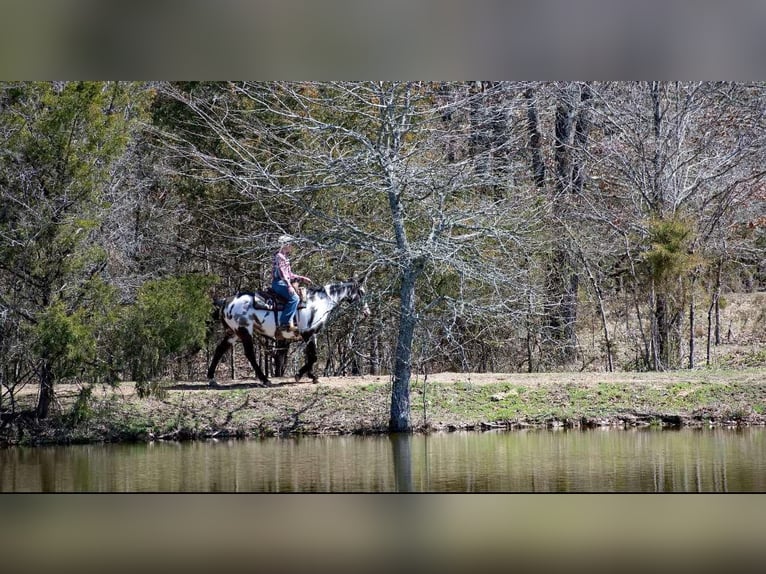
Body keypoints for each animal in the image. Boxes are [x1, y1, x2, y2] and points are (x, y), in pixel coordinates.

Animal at [207, 280, 370, 386]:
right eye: (361, 292)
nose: (367, 312)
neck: (318, 302)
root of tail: (226, 301)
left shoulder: (312, 334)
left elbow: (311, 355)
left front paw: (311, 376)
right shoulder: (307, 333)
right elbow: (313, 357)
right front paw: (300, 375)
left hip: (232, 333)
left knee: (219, 350)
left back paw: (212, 379)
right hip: (244, 331)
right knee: (250, 355)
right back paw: (265, 380)